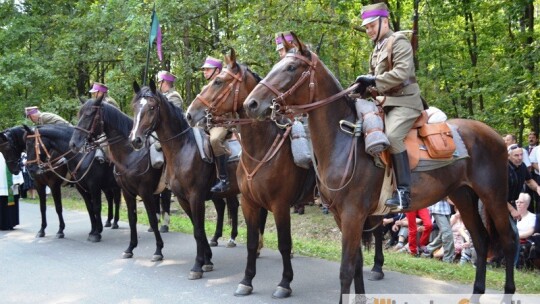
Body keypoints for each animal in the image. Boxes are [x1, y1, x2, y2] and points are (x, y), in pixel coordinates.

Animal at [129, 81, 240, 280]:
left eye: (152, 107)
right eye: (134, 107)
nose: (136, 140)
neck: (182, 148)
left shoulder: (196, 197)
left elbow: (198, 231)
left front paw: (197, 266)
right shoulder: (182, 199)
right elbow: (198, 228)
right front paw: (207, 260)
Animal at [187, 49, 388, 296]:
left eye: (218, 81)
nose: (190, 113)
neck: (262, 148)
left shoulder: (280, 205)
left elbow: (284, 243)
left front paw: (284, 283)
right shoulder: (249, 202)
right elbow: (251, 242)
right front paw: (246, 280)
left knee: (378, 231)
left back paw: (377, 267)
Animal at [243, 33, 516, 302]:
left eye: (291, 67)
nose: (251, 104)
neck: (342, 141)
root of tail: (493, 135)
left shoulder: (352, 214)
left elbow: (345, 269)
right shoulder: (342, 216)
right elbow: (356, 263)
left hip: (493, 196)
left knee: (507, 240)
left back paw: (507, 294)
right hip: (463, 196)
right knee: (481, 241)